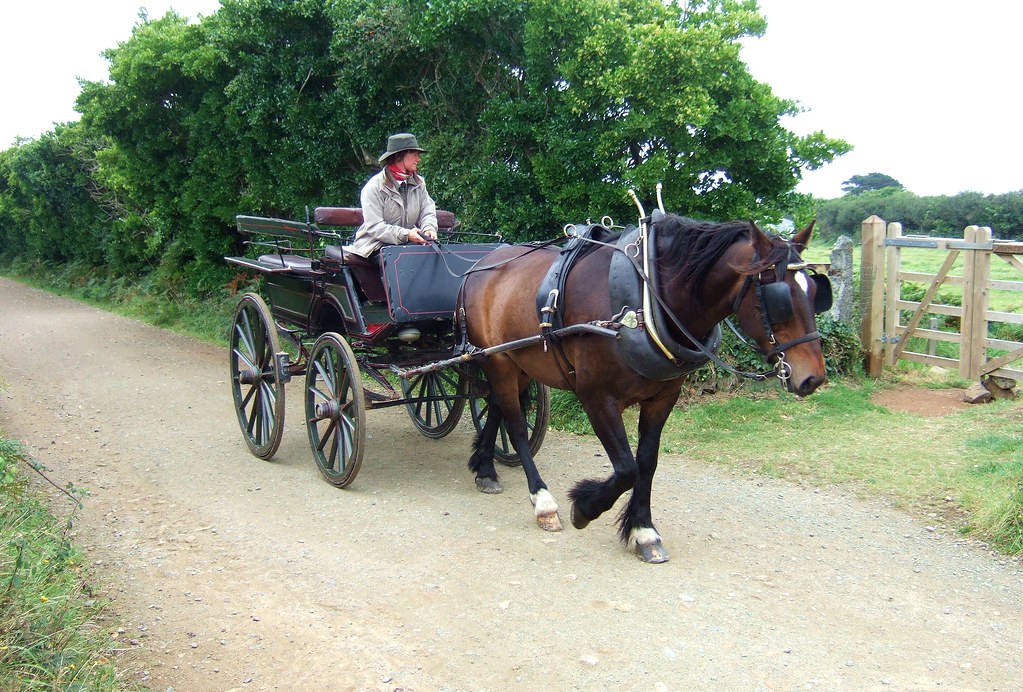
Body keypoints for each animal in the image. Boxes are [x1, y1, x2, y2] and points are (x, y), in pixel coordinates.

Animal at [459, 210, 830, 563]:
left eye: (815, 292)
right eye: (780, 297)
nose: (813, 378)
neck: (645, 301)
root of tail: (478, 265)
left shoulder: (662, 398)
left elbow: (647, 462)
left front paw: (643, 531)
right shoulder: (597, 398)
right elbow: (627, 468)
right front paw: (585, 508)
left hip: (518, 362)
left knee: (497, 407)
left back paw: (486, 468)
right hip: (499, 361)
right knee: (516, 426)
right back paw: (542, 501)